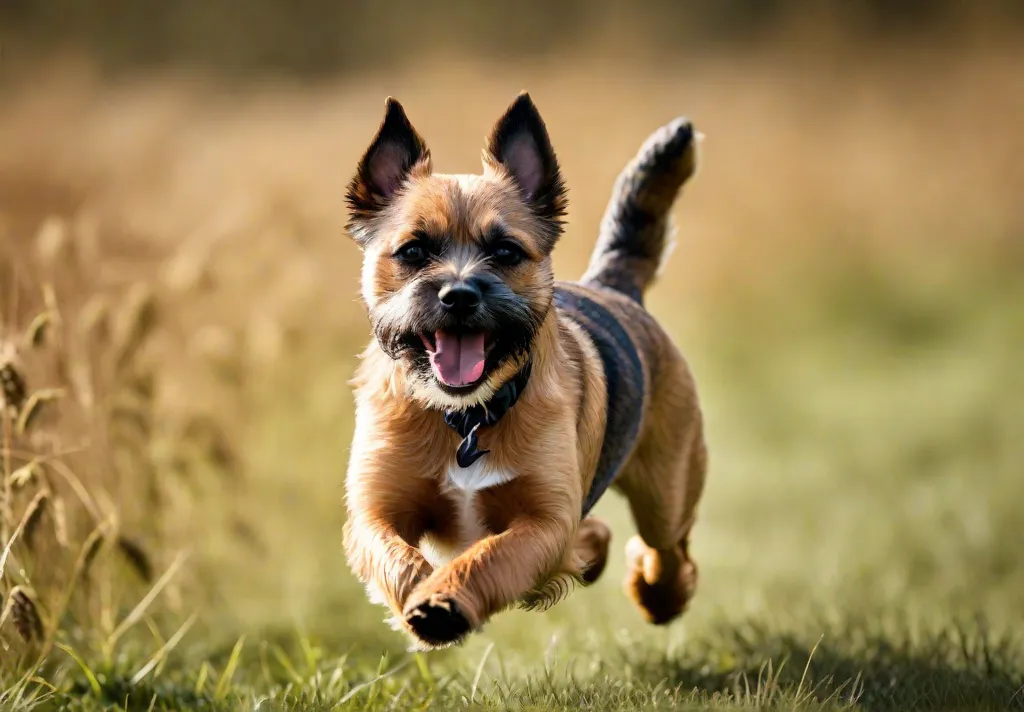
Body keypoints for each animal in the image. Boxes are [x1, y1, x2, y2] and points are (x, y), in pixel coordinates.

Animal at [342, 91, 704, 647]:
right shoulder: (373, 510)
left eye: (506, 251)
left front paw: (445, 600)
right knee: (600, 535)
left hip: (668, 489)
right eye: (414, 250)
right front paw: (426, 593)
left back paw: (658, 595)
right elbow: (397, 558)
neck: (466, 418)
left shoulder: (546, 521)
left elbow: (493, 555)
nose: (459, 294)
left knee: (668, 548)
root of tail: (613, 283)